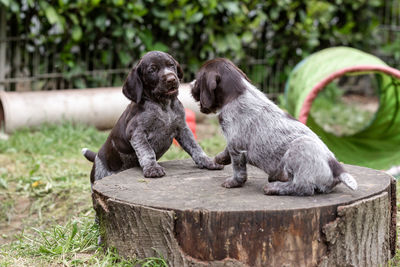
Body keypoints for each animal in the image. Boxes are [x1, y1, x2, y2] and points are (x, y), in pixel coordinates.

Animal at [191, 58, 356, 197]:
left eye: (198, 79)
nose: (190, 85)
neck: (237, 92)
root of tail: (336, 168)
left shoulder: (237, 147)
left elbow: (238, 170)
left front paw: (233, 182)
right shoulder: (233, 141)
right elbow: (226, 151)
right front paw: (220, 158)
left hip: (299, 148)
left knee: (303, 187)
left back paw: (273, 187)